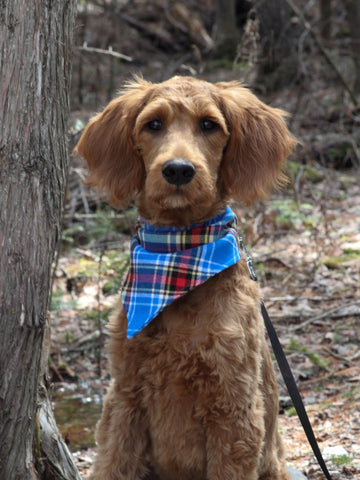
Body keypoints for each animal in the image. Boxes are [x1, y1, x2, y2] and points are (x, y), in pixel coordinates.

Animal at [75, 77, 296, 480]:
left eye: (209, 125)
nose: (178, 170)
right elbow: (112, 464)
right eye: (153, 124)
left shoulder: (233, 410)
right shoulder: (125, 398)